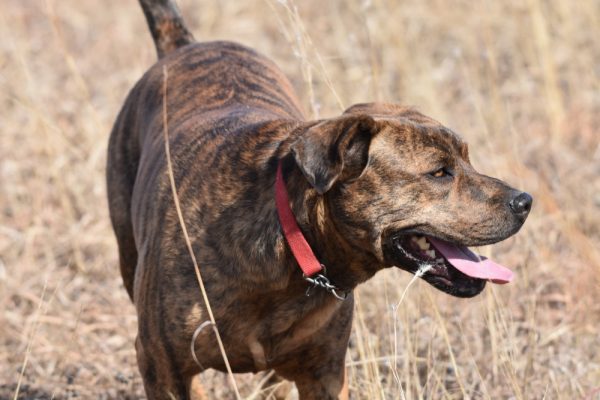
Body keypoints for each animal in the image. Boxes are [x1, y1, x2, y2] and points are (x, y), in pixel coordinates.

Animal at [106, 1, 528, 398]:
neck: (291, 240)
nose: (525, 202)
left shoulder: (324, 374)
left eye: (467, 158)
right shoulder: (164, 367)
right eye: (439, 172)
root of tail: (185, 45)